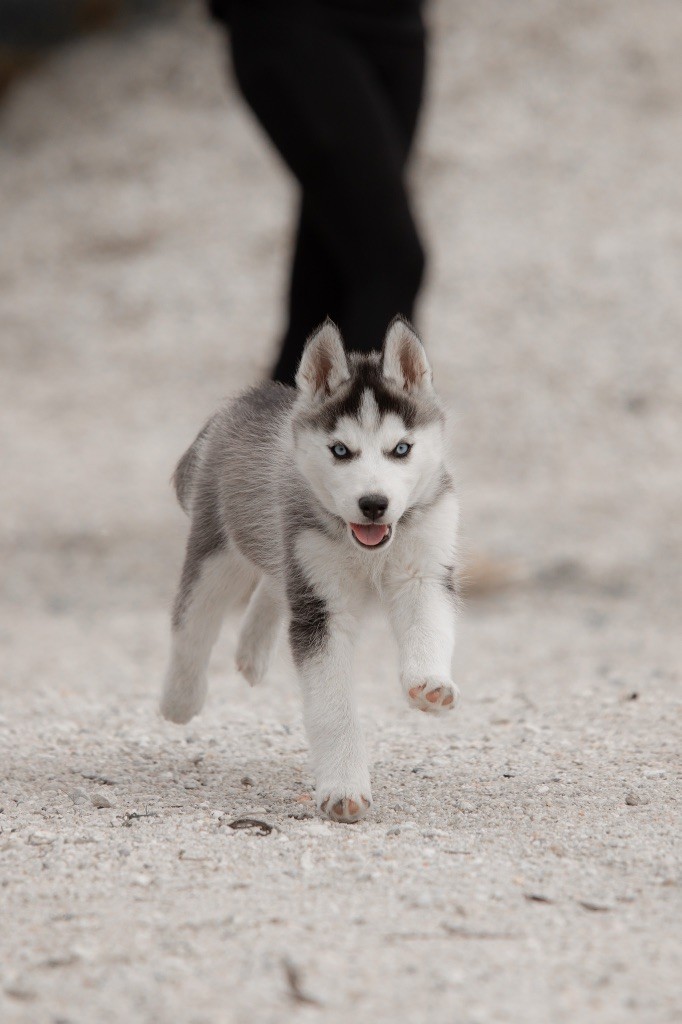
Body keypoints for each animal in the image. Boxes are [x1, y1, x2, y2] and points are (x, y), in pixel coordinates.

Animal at [159, 315, 456, 819]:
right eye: (340, 451)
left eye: (401, 449)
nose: (373, 504)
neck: (368, 551)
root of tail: (245, 400)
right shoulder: (322, 610)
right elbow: (331, 708)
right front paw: (344, 790)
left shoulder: (423, 570)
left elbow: (430, 628)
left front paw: (430, 683)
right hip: (222, 550)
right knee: (192, 621)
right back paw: (180, 699)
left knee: (274, 582)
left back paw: (252, 651)